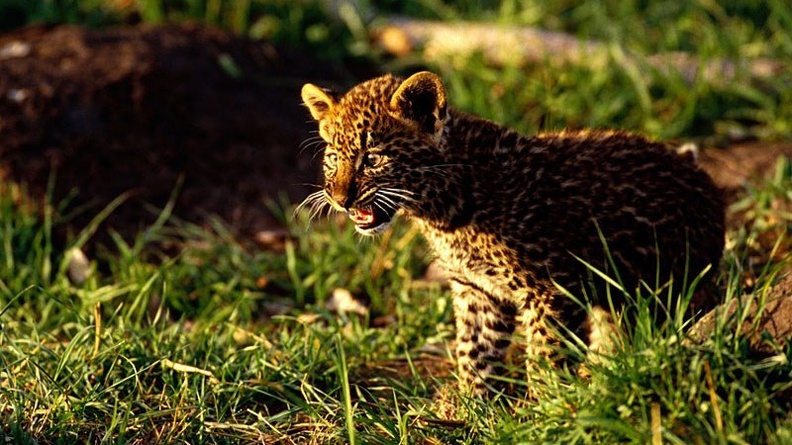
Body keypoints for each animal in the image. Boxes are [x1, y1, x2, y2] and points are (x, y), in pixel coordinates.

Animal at [299, 71, 725, 397]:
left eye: (372, 159)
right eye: (332, 157)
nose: (339, 199)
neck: (443, 210)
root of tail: (702, 176)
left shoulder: (550, 290)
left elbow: (545, 357)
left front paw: (548, 410)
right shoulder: (476, 289)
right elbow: (474, 352)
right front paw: (471, 408)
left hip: (672, 286)